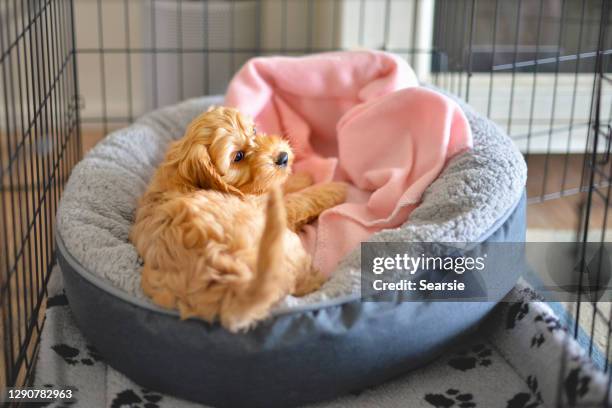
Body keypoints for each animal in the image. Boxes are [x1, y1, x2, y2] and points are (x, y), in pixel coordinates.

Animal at [130, 106, 346, 332]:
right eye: (238, 156)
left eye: (254, 130)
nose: (283, 157)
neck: (184, 174)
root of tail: (237, 284)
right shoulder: (265, 207)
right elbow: (298, 199)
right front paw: (334, 188)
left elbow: (277, 186)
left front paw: (302, 177)